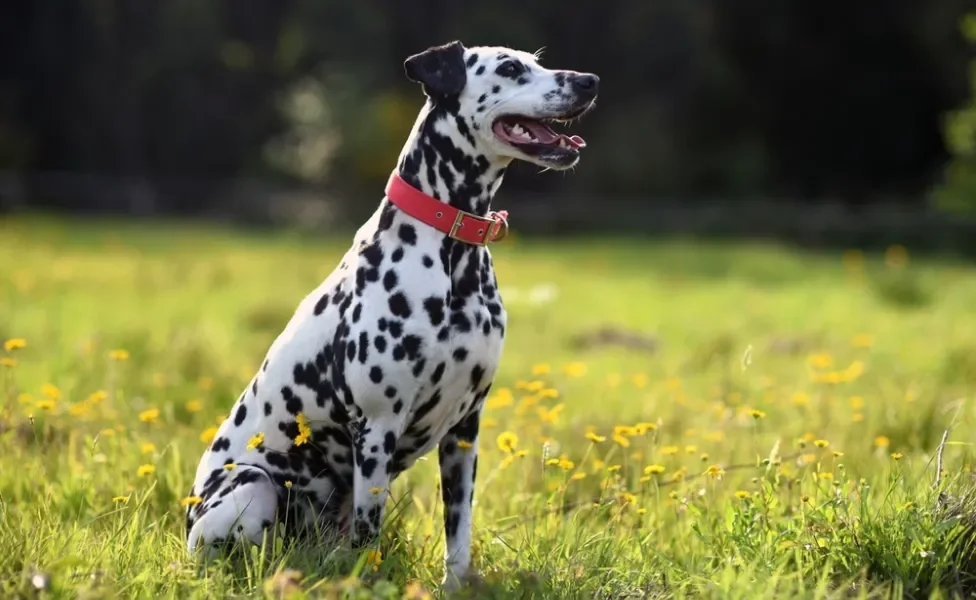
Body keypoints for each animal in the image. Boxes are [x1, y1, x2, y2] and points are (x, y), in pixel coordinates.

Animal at [182, 39, 596, 588]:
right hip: (253, 485)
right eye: (510, 68)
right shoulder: (377, 427)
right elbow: (369, 534)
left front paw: (455, 585)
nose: (589, 81)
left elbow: (458, 532)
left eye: (539, 61)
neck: (450, 251)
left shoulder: (465, 432)